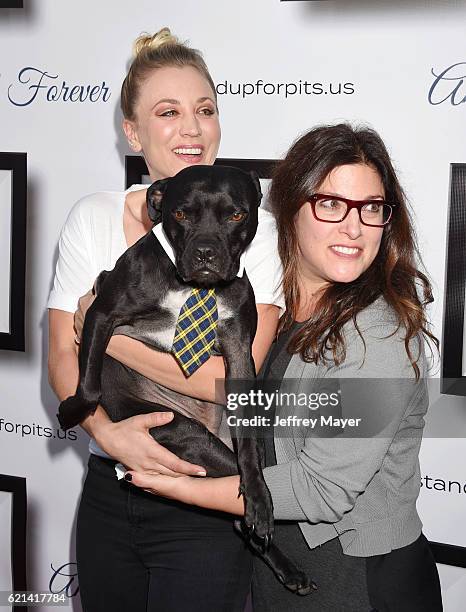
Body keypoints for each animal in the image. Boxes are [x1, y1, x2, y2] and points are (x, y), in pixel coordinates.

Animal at [56, 165, 314, 596]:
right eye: (180, 214)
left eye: (236, 214)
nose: (206, 252)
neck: (194, 288)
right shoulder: (101, 313)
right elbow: (89, 387)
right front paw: (71, 411)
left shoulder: (239, 352)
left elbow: (249, 452)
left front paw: (259, 497)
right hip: (183, 430)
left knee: (238, 490)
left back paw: (279, 550)